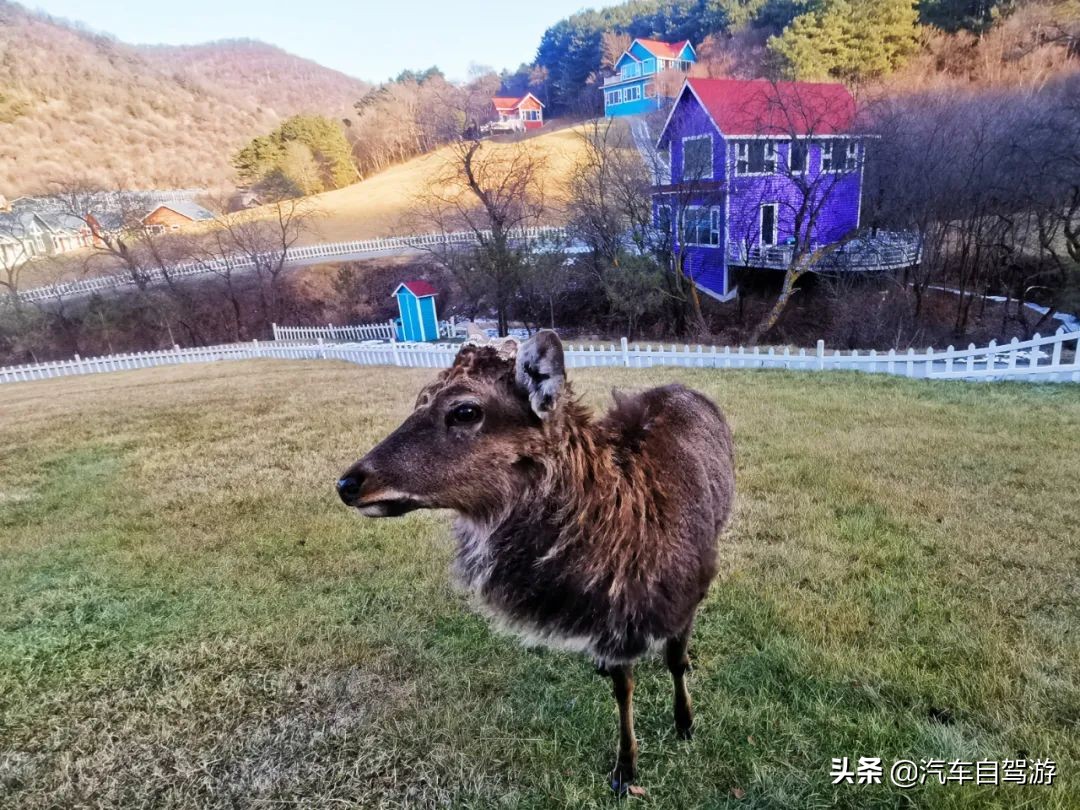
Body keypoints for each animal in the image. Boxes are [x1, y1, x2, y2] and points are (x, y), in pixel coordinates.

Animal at [336, 330, 735, 794]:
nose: (348, 482)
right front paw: (625, 768)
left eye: (465, 410)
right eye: (421, 398)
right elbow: (623, 687)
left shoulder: (689, 590)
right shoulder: (610, 624)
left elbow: (675, 662)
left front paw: (684, 724)